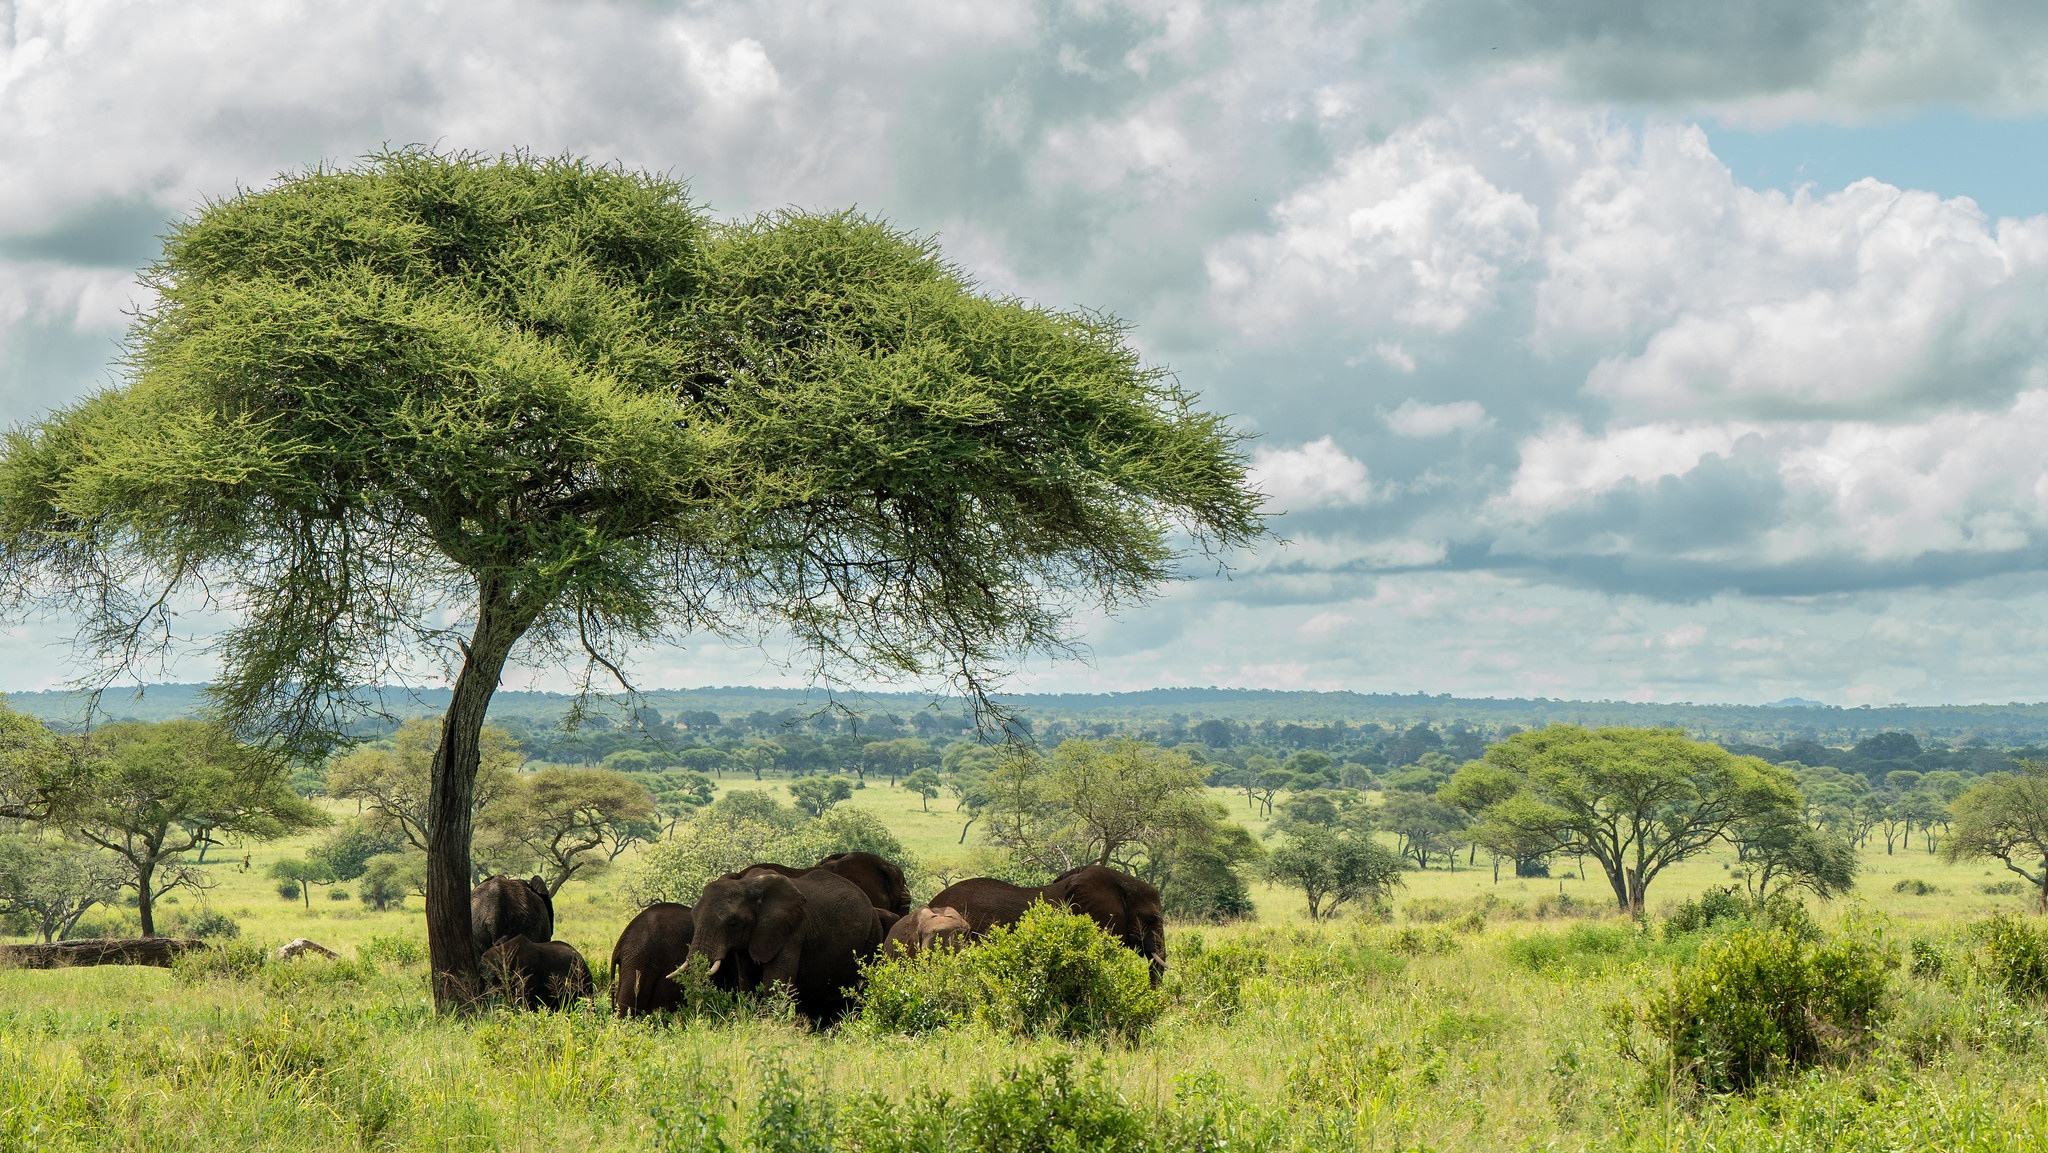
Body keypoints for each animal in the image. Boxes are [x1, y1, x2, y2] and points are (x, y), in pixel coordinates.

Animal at [692, 872, 884, 1023]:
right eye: (693, 915)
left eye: (733, 923)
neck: (748, 884)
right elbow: (747, 984)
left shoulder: (792, 933)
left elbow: (776, 984)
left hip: (872, 939)